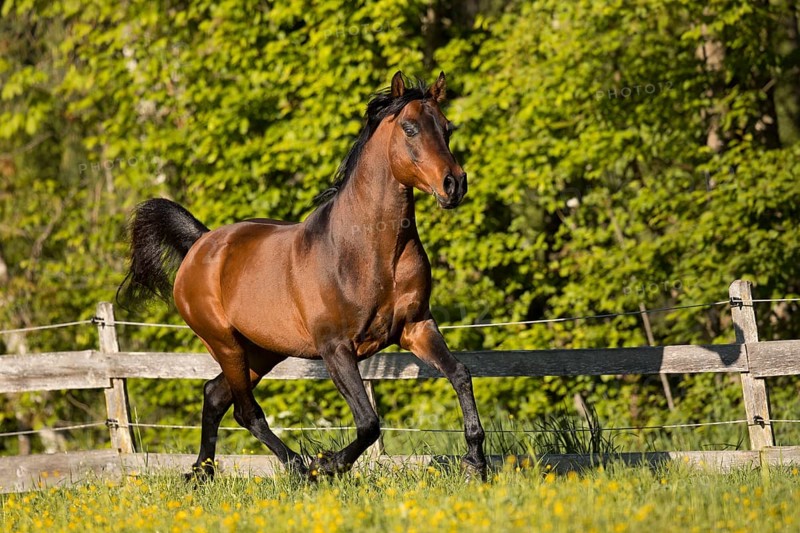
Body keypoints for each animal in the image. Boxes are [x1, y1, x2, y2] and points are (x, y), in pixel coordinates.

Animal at [117, 71, 486, 481]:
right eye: (410, 128)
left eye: (447, 128)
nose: (454, 184)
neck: (371, 252)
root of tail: (202, 243)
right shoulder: (335, 348)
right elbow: (368, 422)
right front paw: (327, 464)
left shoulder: (417, 326)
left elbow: (461, 374)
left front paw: (475, 462)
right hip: (225, 344)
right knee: (245, 411)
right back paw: (296, 467)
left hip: (261, 351)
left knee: (214, 395)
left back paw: (203, 473)